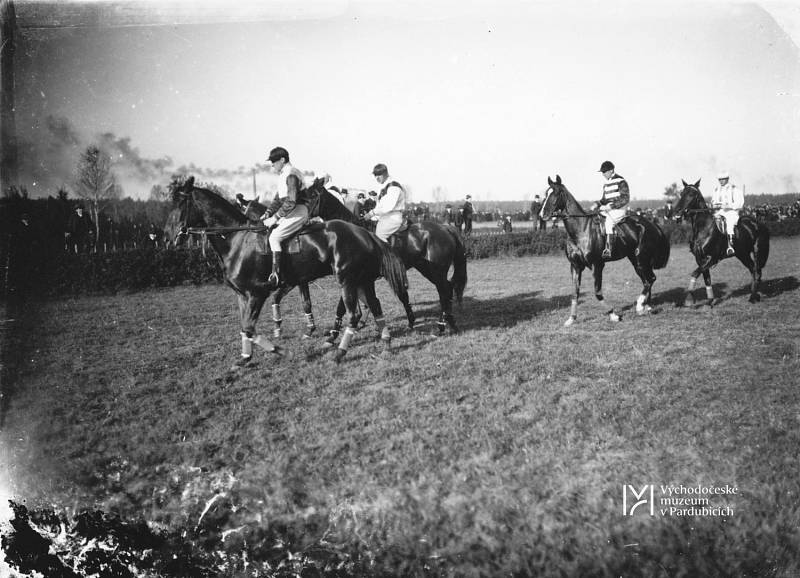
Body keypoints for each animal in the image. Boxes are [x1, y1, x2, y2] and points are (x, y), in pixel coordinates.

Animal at [174, 177, 412, 364]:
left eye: (180, 204)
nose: (175, 238)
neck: (237, 240)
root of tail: (364, 233)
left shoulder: (258, 292)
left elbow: (251, 327)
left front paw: (282, 350)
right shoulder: (248, 293)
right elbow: (246, 326)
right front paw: (246, 356)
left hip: (347, 279)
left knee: (357, 312)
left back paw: (341, 351)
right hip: (362, 280)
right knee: (375, 305)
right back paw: (386, 343)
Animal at [306, 178, 468, 336]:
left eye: (312, 195)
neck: (349, 233)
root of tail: (445, 227)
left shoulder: (352, 277)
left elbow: (349, 304)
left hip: (436, 271)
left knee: (445, 291)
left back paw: (442, 325)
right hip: (425, 268)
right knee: (447, 289)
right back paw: (448, 322)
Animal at [540, 173, 672, 326]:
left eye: (556, 193)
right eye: (546, 193)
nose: (542, 214)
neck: (581, 230)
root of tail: (653, 225)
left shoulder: (597, 265)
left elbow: (597, 293)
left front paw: (613, 315)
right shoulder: (575, 266)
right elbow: (575, 293)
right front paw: (571, 319)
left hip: (641, 259)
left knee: (650, 279)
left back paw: (640, 306)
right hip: (636, 261)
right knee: (647, 280)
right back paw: (647, 306)